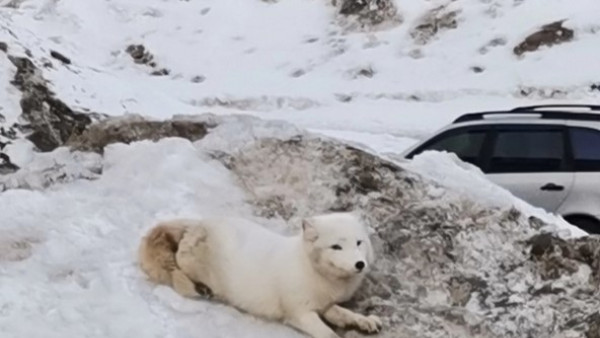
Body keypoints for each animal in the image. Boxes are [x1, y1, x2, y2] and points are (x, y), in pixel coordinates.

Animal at [139, 213, 382, 338]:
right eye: (336, 247)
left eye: (359, 243)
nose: (360, 264)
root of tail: (198, 222)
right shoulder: (298, 312)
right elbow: (329, 334)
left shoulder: (325, 305)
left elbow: (344, 314)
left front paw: (365, 320)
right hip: (193, 267)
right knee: (179, 269)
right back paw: (202, 288)